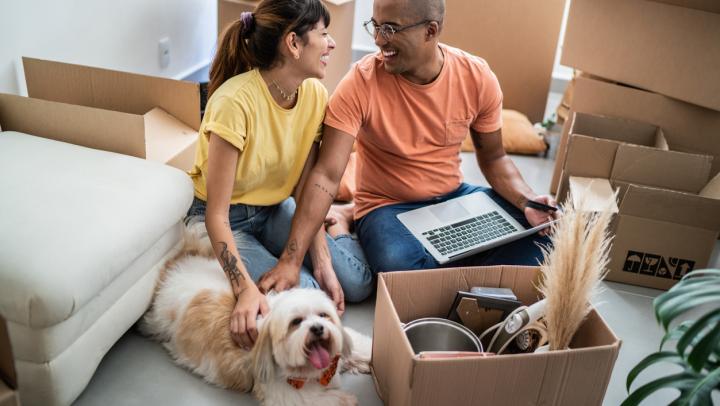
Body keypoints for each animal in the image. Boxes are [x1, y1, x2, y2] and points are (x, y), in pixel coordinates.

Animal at [144, 230, 374, 404]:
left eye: (323, 315)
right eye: (296, 323)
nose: (317, 328)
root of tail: (180, 262)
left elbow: (360, 347)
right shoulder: (287, 395)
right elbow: (327, 399)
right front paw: (347, 398)